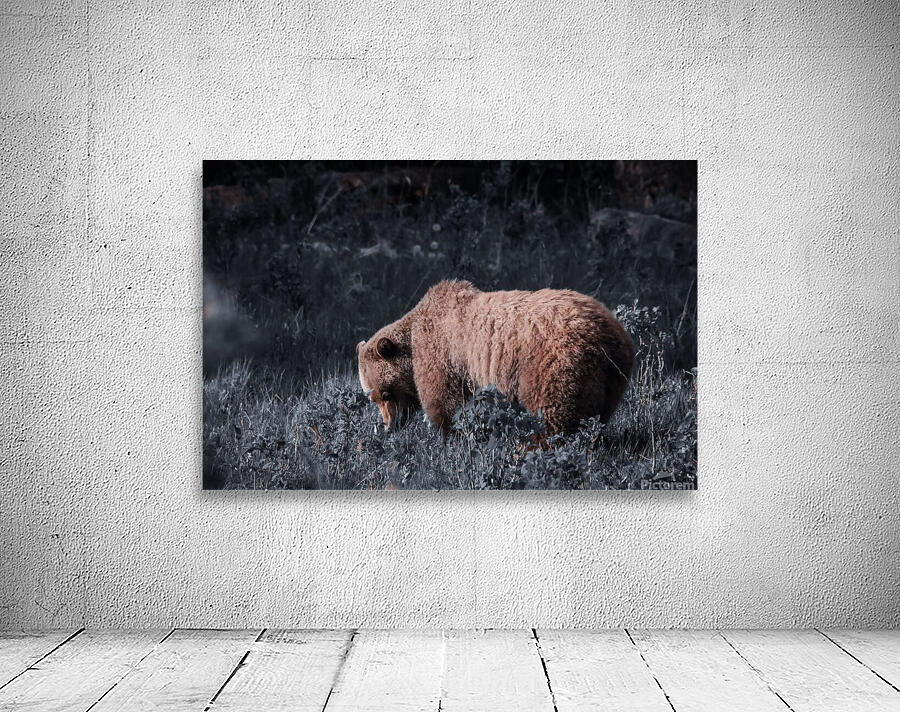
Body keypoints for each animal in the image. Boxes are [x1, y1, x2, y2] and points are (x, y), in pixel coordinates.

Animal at [357, 280, 634, 436]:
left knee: (552, 413)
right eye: (372, 398)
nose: (389, 426)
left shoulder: (442, 356)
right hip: (613, 377)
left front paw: (447, 437)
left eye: (385, 393)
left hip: (553, 362)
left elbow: (444, 403)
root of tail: (607, 334)